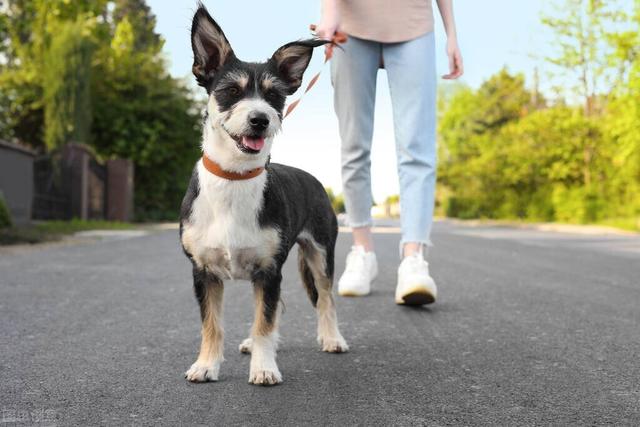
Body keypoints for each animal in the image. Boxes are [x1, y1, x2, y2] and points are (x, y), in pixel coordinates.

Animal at [180, 5, 348, 386]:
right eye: (230, 90)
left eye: (275, 96)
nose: (260, 119)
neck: (234, 178)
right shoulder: (204, 273)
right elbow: (213, 325)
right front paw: (206, 365)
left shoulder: (269, 271)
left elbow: (264, 322)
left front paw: (264, 367)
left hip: (320, 253)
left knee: (326, 299)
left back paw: (332, 338)